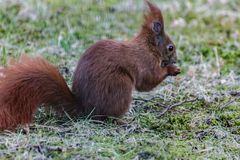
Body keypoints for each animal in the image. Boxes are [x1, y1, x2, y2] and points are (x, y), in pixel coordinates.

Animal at [0, 0, 180, 131]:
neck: (149, 47)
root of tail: (86, 108)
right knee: (106, 118)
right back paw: (123, 122)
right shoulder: (144, 61)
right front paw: (172, 70)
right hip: (120, 86)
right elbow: (147, 81)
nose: (176, 60)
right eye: (170, 47)